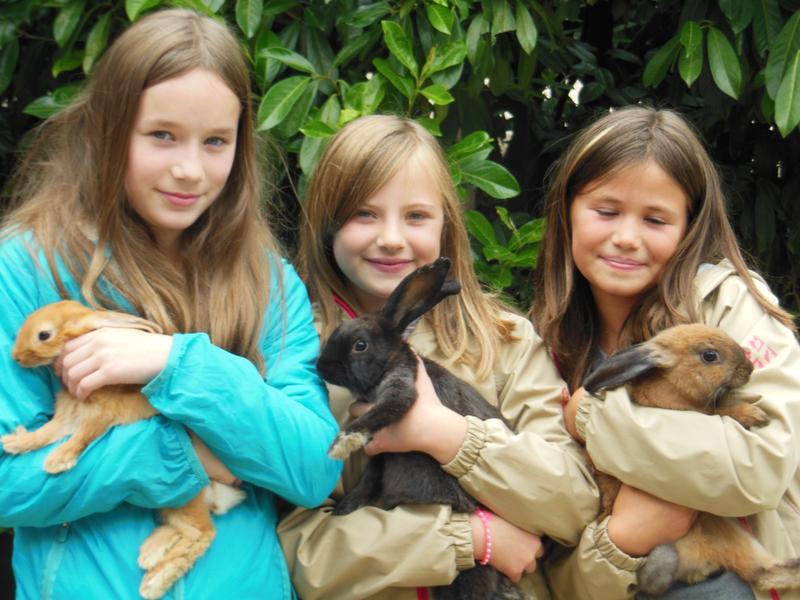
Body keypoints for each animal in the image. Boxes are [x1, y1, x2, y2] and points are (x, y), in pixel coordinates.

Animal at [0, 302, 247, 596]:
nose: (16, 357)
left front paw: (58, 461)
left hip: (185, 499)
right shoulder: (65, 420)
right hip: (172, 502)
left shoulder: (98, 418)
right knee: (186, 530)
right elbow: (43, 435)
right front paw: (15, 443)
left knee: (203, 535)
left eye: (43, 335)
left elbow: (81, 438)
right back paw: (150, 554)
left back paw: (154, 582)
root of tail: (218, 495)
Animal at [316, 256, 528, 600]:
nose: (321, 367)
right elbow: (367, 482)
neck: (388, 363)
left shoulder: (401, 390)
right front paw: (343, 511)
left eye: (360, 345)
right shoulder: (381, 455)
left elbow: (383, 411)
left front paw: (340, 444)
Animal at [580, 326, 800, 596]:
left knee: (763, 572)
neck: (673, 388)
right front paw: (754, 414)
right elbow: (720, 412)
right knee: (762, 573)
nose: (749, 368)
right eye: (710, 356)